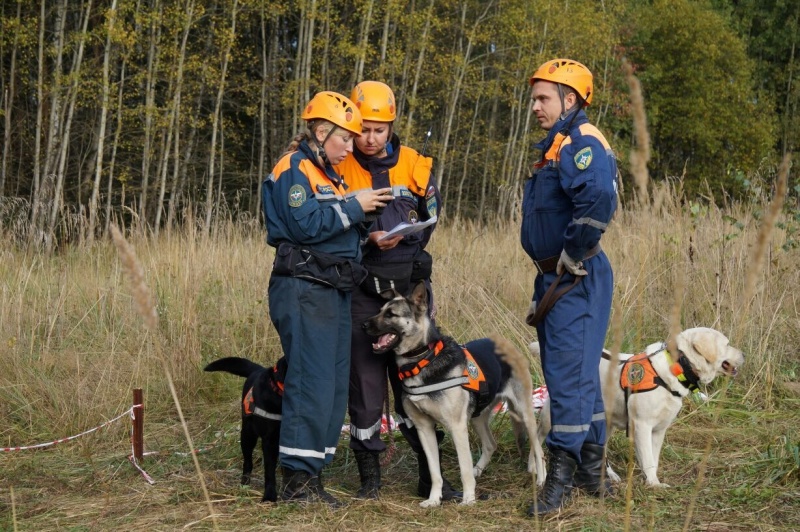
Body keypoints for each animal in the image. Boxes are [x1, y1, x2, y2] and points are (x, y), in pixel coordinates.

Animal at [203, 356, 288, 500]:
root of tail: (258, 369)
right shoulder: (269, 440)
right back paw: (245, 482)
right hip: (248, 435)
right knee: (247, 461)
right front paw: (269, 495)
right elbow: (269, 470)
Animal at [364, 282, 548, 508]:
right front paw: (434, 499)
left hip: (524, 413)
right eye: (380, 310)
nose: (363, 325)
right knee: (490, 444)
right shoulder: (424, 429)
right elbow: (435, 471)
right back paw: (479, 470)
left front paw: (469, 498)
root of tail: (508, 345)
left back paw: (540, 478)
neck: (423, 360)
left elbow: (464, 468)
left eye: (391, 314)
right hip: (478, 416)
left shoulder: (457, 426)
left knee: (538, 449)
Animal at [532, 330, 744, 488]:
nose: (744, 355)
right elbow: (648, 460)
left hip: (606, 423)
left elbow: (654, 459)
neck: (677, 365)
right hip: (552, 417)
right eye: (727, 344)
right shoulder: (642, 426)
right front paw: (654, 485)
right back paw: (536, 471)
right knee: (537, 438)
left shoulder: (659, 430)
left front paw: (652, 481)